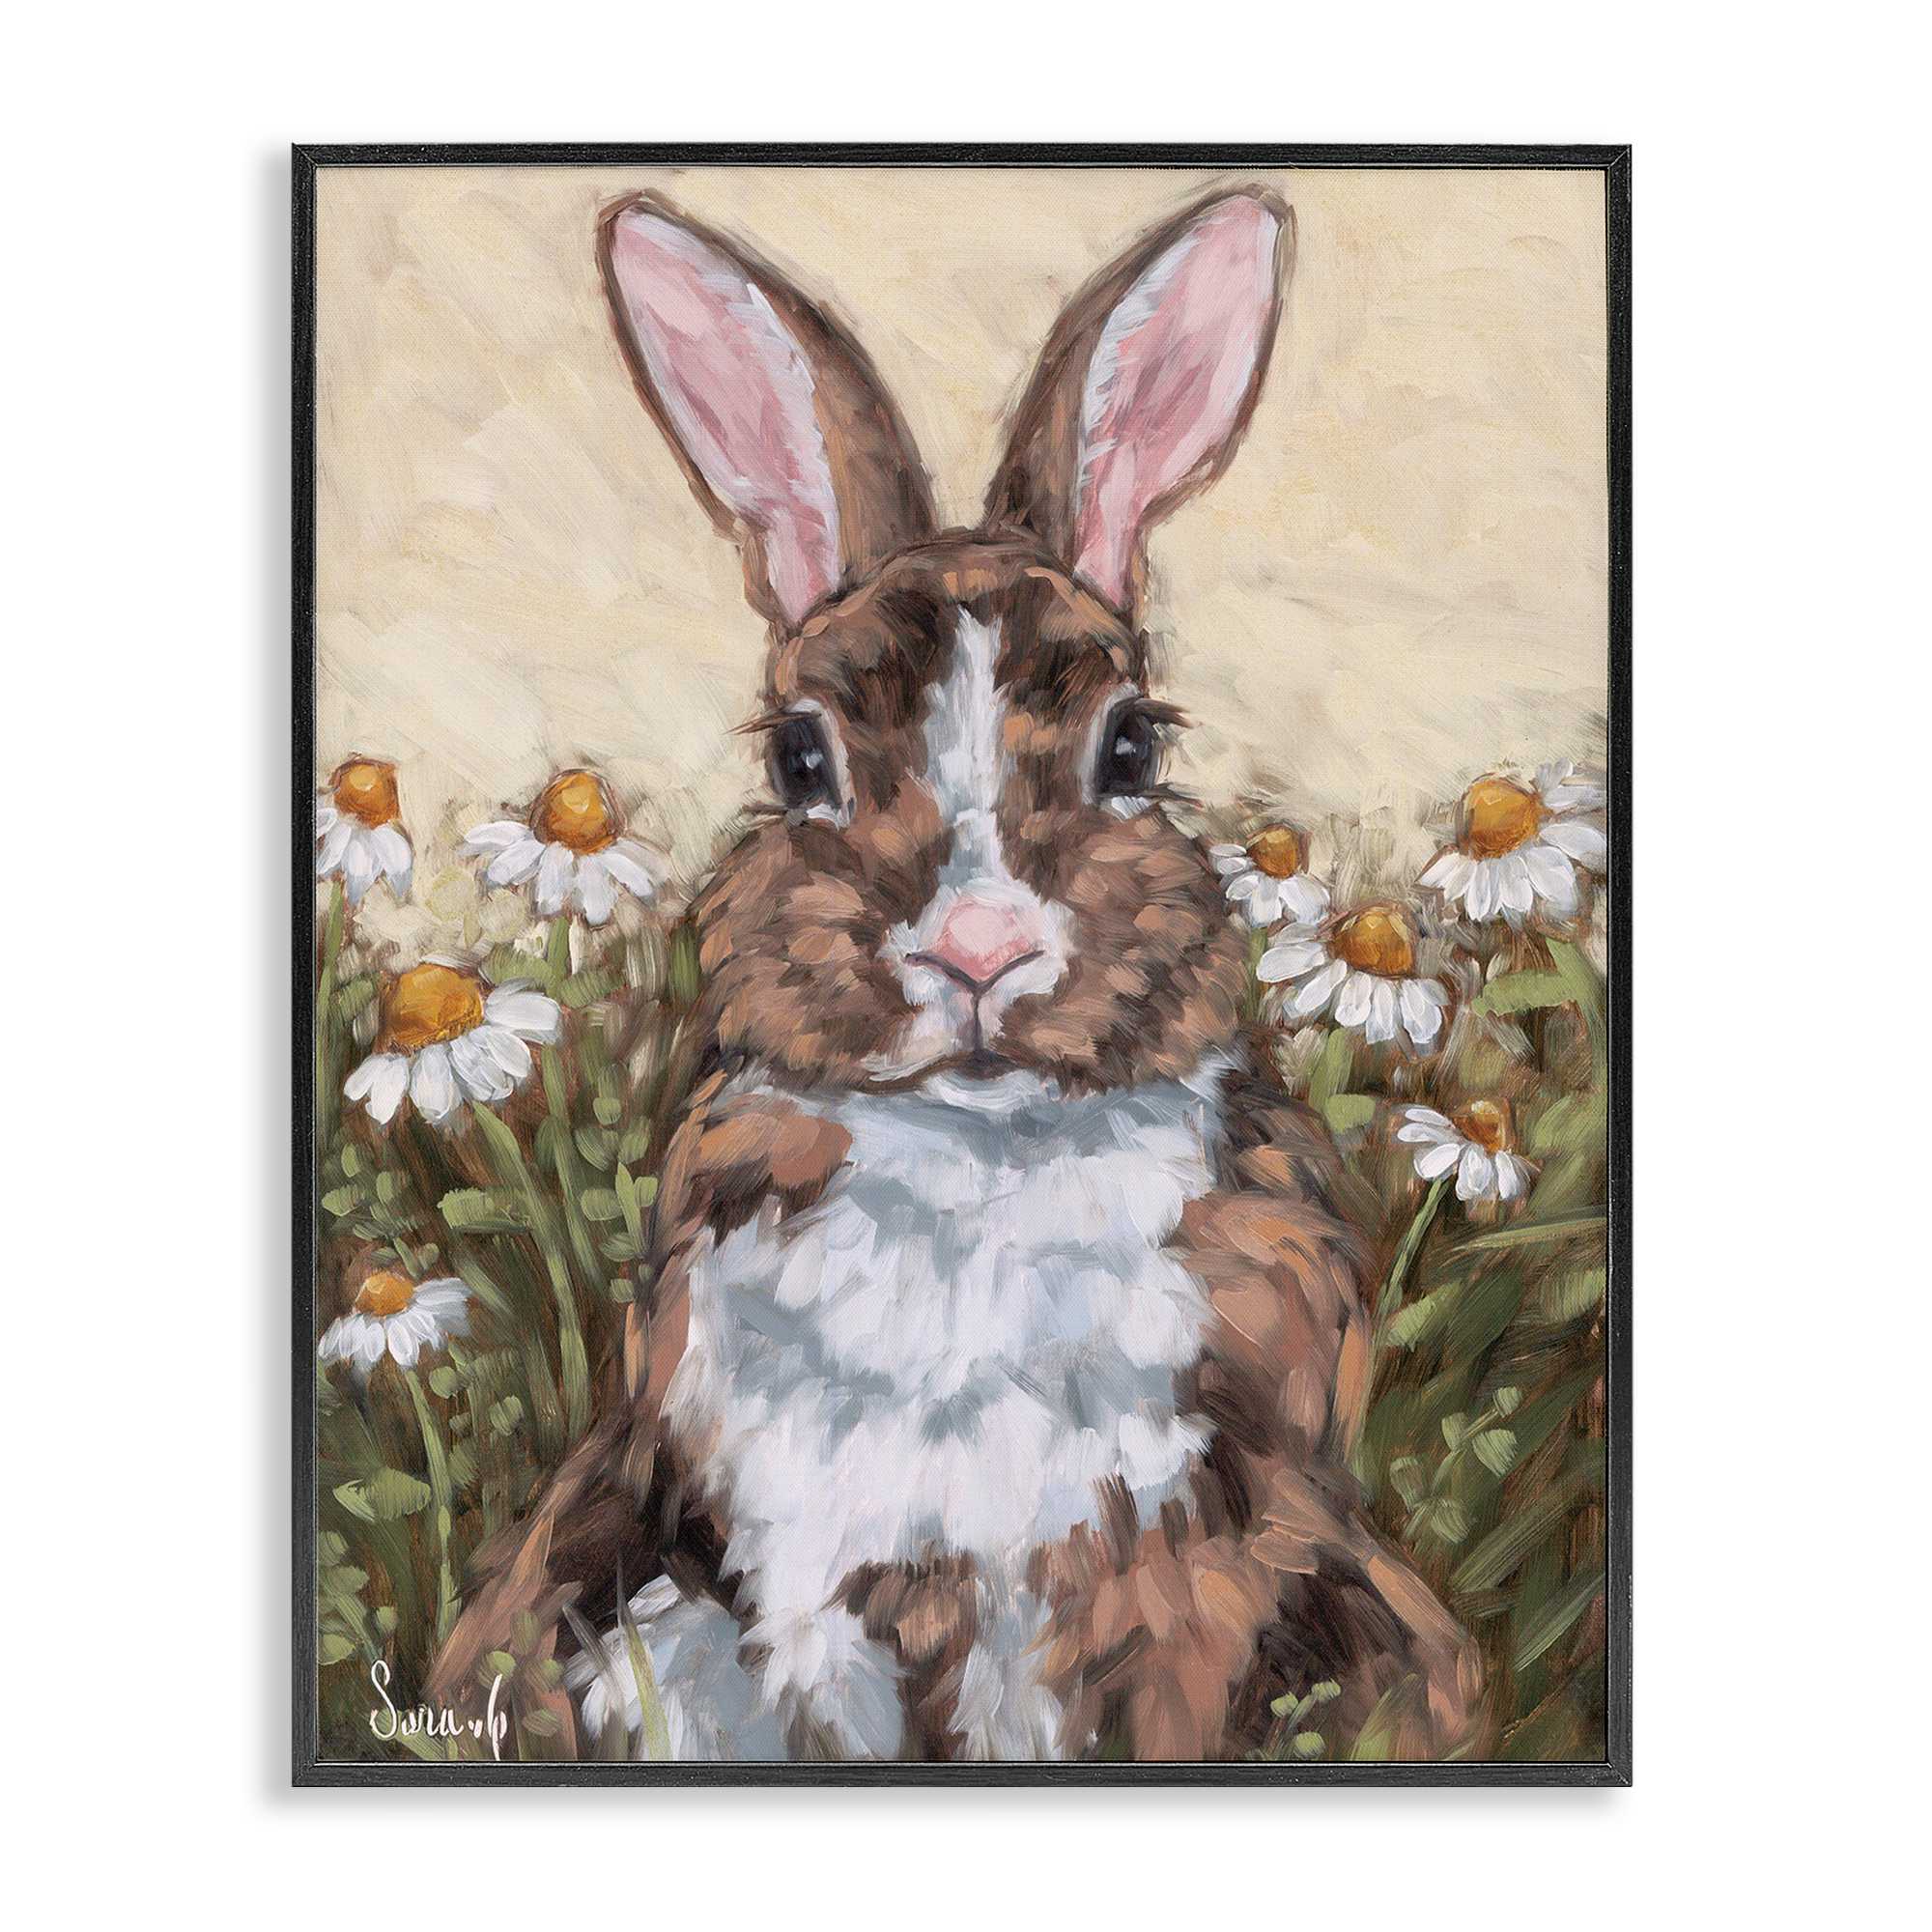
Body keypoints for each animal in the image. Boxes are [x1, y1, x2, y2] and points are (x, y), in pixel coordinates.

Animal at [425, 185, 1482, 1763]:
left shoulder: (1169, 1578)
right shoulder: (810, 1582)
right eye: (799, 759)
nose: (979, 950)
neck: (980, 1168)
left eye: (1133, 746)